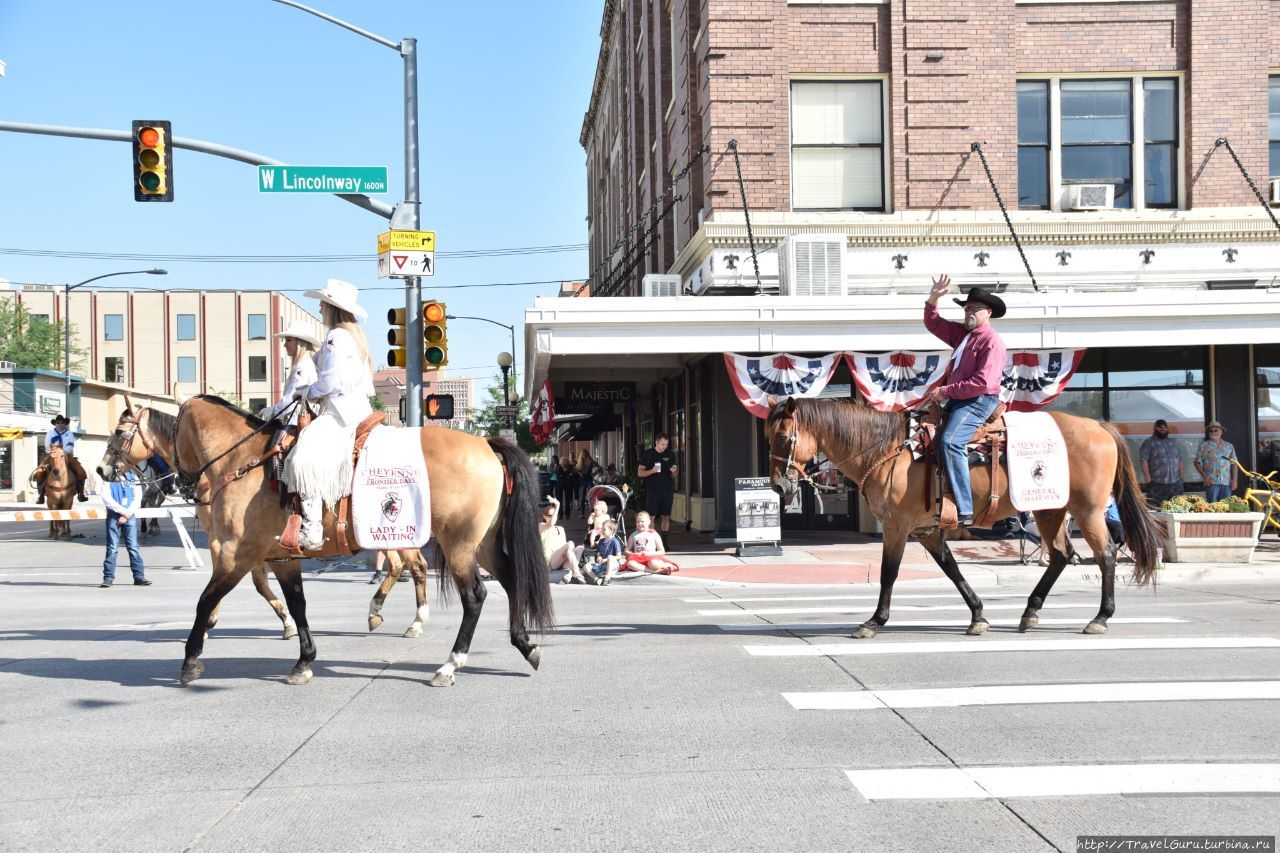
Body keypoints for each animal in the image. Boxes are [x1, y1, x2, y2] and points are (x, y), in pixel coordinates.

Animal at [101, 394, 555, 686]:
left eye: (120, 432)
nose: (103, 470)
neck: (241, 460)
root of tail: (487, 445)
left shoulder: (234, 553)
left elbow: (205, 601)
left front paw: (191, 658)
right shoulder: (280, 557)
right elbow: (297, 605)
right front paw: (303, 660)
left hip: (457, 545)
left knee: (473, 595)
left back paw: (450, 663)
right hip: (482, 544)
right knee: (509, 581)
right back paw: (525, 645)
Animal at [762, 394, 1167, 635]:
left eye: (782, 437)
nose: (778, 487)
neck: (889, 450)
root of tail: (1100, 425)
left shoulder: (897, 526)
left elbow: (888, 573)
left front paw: (874, 621)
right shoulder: (927, 530)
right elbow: (952, 569)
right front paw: (978, 615)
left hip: (1087, 510)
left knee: (1105, 555)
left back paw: (1100, 617)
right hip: (1051, 509)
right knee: (1061, 555)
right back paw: (1030, 612)